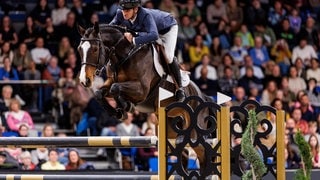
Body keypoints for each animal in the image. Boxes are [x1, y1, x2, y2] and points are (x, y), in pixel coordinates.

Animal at [78, 22, 218, 176]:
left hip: (194, 132)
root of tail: (202, 96)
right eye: (79, 50)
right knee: (185, 154)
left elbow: (116, 88)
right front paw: (119, 111)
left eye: (95, 49)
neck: (124, 56)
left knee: (203, 154)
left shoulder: (141, 89)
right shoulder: (110, 81)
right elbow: (100, 93)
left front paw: (126, 106)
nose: (84, 81)